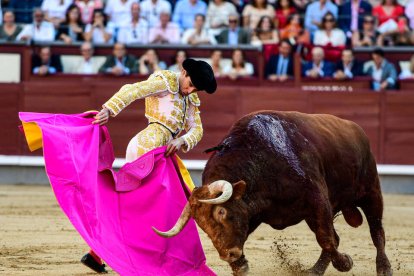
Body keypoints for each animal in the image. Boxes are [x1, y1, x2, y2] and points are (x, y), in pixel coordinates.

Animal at [154, 111, 392, 274]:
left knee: (376, 231)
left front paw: (345, 263)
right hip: (314, 215)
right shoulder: (256, 212)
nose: (228, 255)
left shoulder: (318, 200)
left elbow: (326, 238)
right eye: (201, 225)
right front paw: (240, 265)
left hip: (371, 191)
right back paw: (314, 270)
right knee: (338, 236)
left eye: (222, 212)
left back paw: (384, 267)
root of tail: (355, 128)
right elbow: (328, 238)